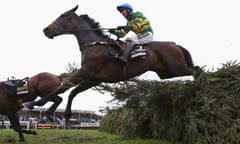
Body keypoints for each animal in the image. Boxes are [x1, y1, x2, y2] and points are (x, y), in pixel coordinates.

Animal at [25, 5, 199, 125]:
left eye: (63, 16)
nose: (46, 30)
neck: (93, 44)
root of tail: (175, 44)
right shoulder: (93, 78)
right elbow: (73, 92)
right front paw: (64, 115)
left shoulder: (86, 71)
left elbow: (63, 86)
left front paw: (35, 103)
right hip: (166, 73)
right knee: (195, 70)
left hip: (176, 68)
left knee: (196, 71)